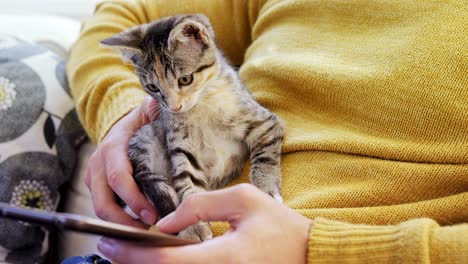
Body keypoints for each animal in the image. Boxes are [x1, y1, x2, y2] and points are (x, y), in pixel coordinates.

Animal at [102, 14, 284, 241]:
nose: (173, 107)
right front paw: (192, 227)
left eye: (185, 79)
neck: (201, 107)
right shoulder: (181, 146)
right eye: (153, 87)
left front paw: (264, 190)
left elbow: (265, 156)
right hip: (144, 136)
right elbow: (186, 180)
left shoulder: (265, 123)